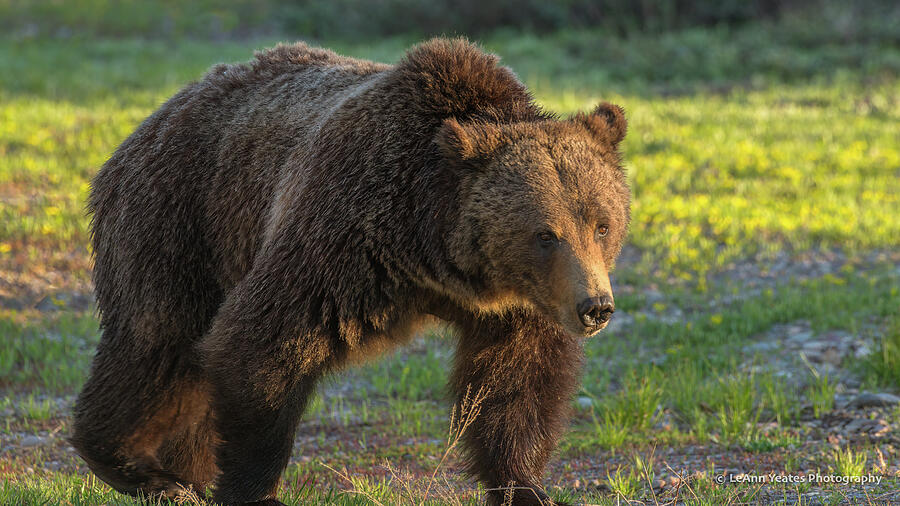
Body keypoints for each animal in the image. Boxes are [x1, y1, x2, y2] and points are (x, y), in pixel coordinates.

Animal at [70, 38, 628, 506]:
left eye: (602, 224)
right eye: (546, 234)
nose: (595, 307)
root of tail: (153, 117)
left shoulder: (516, 304)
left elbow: (514, 385)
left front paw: (526, 487)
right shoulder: (345, 238)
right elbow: (263, 345)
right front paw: (255, 489)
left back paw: (183, 469)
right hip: (181, 222)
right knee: (157, 347)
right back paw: (141, 469)